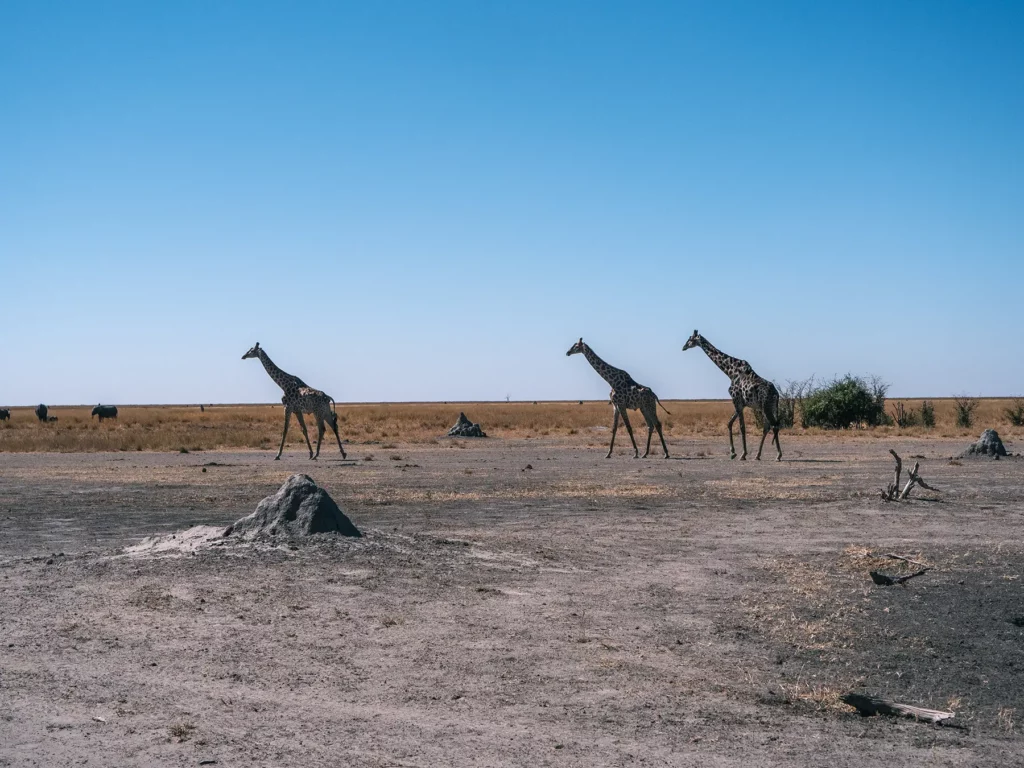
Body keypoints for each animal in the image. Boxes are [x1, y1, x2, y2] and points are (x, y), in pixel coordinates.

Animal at [682, 330, 782, 461]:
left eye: (690, 339)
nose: (683, 347)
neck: (730, 372)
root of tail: (776, 393)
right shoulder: (741, 404)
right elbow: (729, 423)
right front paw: (733, 453)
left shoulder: (736, 399)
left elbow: (742, 427)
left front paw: (743, 454)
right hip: (770, 407)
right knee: (768, 426)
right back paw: (758, 455)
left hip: (766, 407)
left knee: (774, 425)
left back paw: (778, 455)